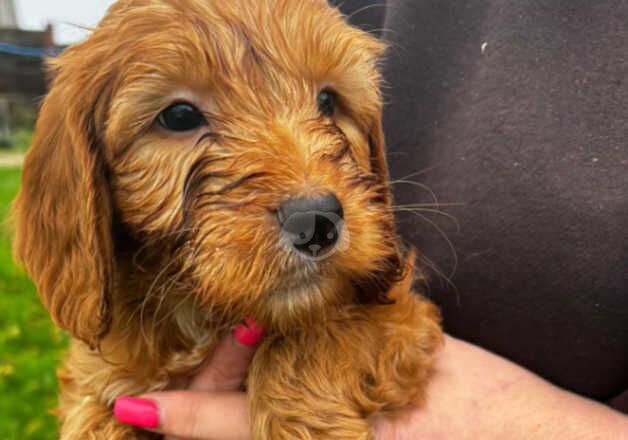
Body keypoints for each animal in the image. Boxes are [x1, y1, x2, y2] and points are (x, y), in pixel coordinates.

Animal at [11, 1, 442, 438]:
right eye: (179, 115)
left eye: (327, 101)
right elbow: (94, 415)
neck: (199, 313)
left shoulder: (403, 314)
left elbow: (316, 328)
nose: (316, 222)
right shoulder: (101, 379)